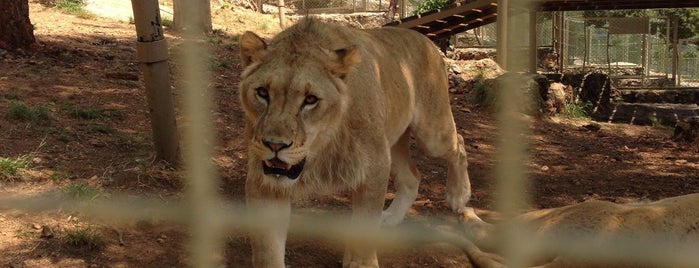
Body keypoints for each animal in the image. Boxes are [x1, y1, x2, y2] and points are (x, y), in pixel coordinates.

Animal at [238, 17, 474, 266]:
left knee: (458, 143)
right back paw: (390, 218)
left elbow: (365, 226)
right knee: (412, 177)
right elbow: (267, 250)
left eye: (310, 99)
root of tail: (425, 39)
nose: (275, 145)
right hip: (392, 142)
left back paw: (459, 195)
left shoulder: (374, 167)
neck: (321, 150)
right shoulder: (263, 182)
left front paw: (362, 263)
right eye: (262, 92)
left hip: (431, 134)